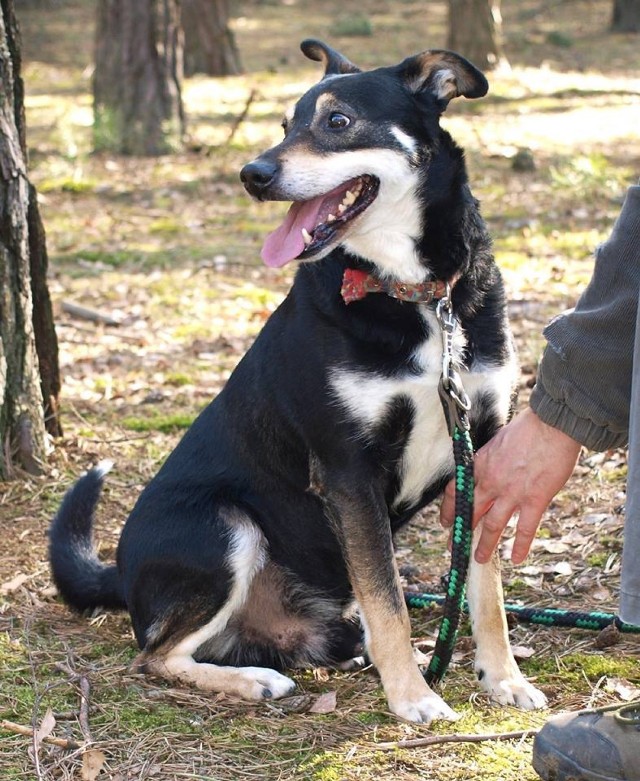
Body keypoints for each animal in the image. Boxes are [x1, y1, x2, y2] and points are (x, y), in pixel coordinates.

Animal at [50, 39, 548, 724]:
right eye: (285, 124)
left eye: (337, 121)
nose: (252, 174)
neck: (416, 294)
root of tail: (119, 575)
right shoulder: (347, 470)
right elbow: (390, 601)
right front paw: (414, 696)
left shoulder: (483, 453)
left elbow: (484, 590)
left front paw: (502, 678)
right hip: (225, 528)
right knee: (153, 655)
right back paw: (255, 680)